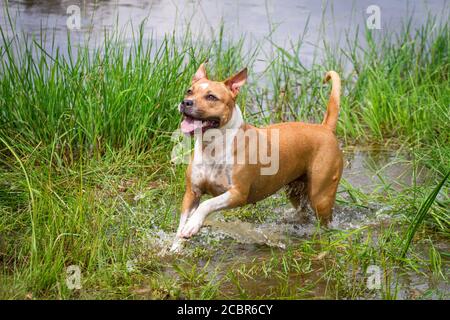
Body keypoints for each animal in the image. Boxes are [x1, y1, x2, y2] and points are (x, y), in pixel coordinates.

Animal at [171, 63, 342, 252]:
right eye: (189, 91)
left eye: (211, 97)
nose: (186, 102)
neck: (214, 146)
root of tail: (324, 128)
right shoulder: (192, 193)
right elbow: (182, 222)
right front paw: (176, 247)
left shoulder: (237, 194)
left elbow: (206, 204)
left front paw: (193, 225)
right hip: (296, 190)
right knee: (303, 211)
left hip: (321, 197)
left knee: (325, 218)